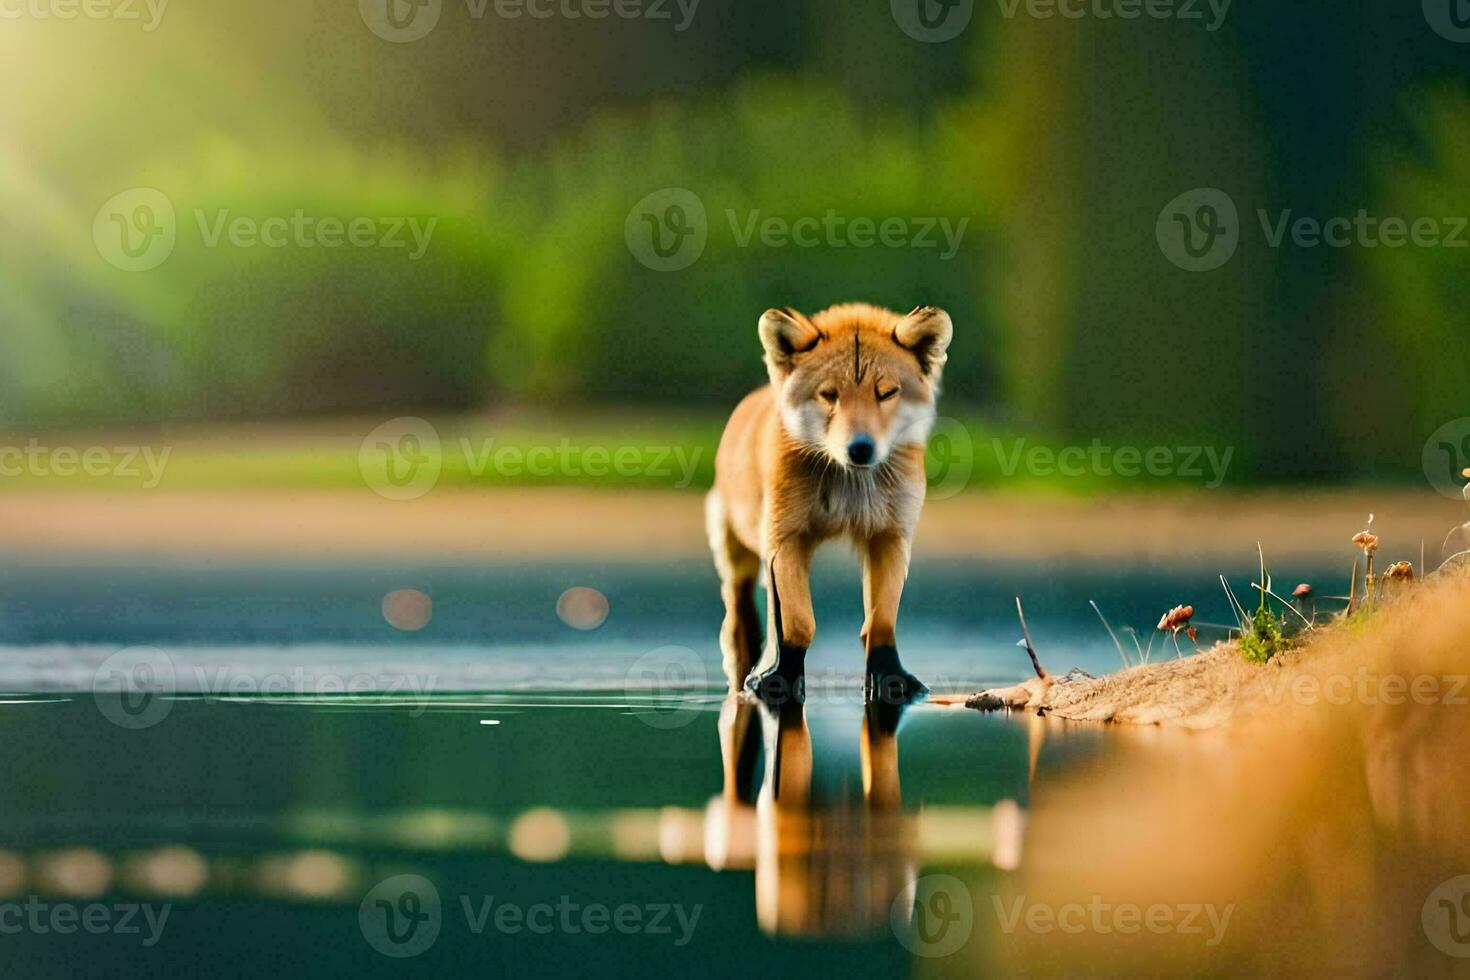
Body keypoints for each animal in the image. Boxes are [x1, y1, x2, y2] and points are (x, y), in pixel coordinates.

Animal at [708, 302, 958, 702]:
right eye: (829, 395)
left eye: (886, 392)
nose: (860, 448)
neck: (848, 494)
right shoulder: (786, 538)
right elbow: (797, 623)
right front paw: (780, 678)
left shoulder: (890, 537)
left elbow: (880, 623)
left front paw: (889, 679)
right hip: (739, 556)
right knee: (740, 619)